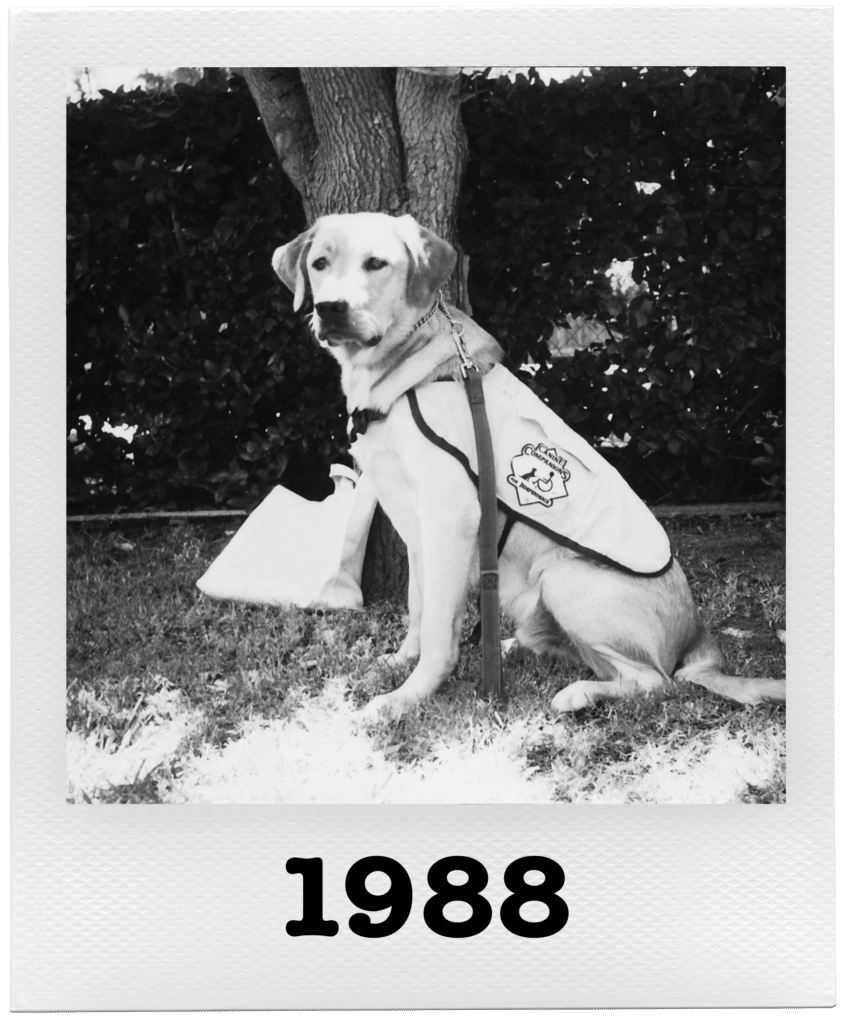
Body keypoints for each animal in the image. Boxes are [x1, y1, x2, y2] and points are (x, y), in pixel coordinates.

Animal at [274, 208, 786, 720]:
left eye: (376, 263)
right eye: (320, 263)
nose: (331, 308)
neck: (401, 374)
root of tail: (701, 638)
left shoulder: (451, 518)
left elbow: (438, 626)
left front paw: (407, 696)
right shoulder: (415, 525)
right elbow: (420, 607)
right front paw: (401, 661)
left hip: (564, 577)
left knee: (654, 680)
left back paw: (578, 692)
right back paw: (508, 648)